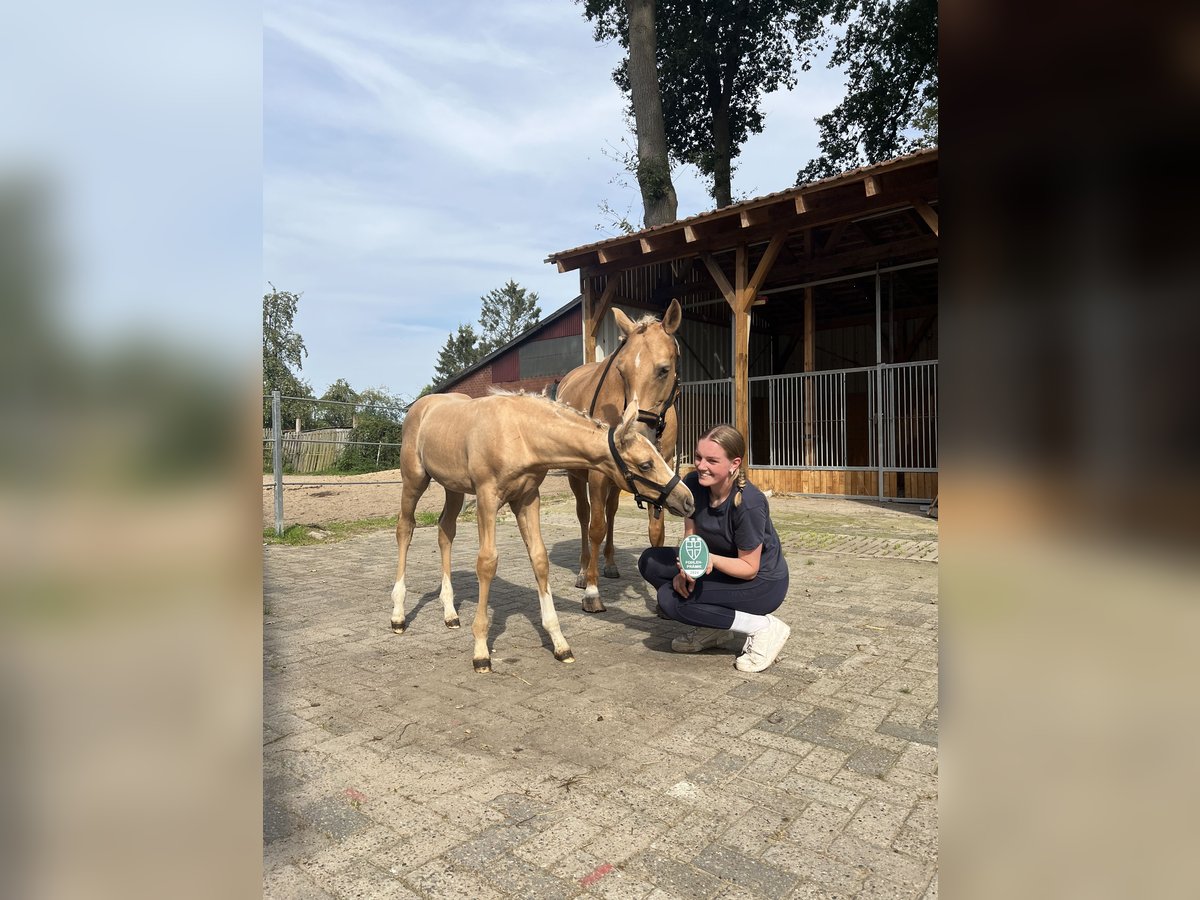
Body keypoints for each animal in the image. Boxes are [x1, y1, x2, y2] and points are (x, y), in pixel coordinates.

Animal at [391, 391, 696, 672]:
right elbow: (487, 562)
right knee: (405, 528)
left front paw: (560, 643)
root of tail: (421, 405)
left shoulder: (528, 499)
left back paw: (450, 613)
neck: (520, 434)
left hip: (452, 487)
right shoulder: (487, 498)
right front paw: (480, 650)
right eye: (646, 464)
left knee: (445, 531)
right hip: (414, 479)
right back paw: (398, 615)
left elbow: (539, 559)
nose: (687, 500)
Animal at [554, 300, 681, 619]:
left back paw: (610, 564)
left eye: (664, 370)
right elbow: (595, 527)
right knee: (586, 516)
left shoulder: (659, 476)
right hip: (578, 477)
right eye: (621, 371)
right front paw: (592, 592)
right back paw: (584, 571)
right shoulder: (598, 476)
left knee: (611, 513)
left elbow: (656, 532)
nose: (636, 431)